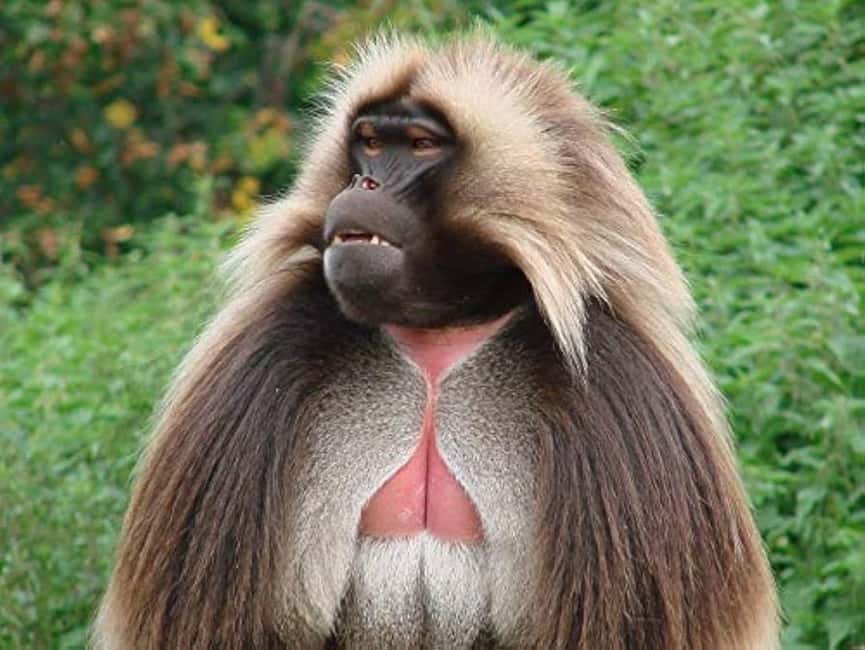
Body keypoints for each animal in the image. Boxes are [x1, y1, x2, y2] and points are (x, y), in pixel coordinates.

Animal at [94, 33, 780, 649]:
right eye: (370, 142)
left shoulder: (624, 396)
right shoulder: (256, 370)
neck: (439, 328)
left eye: (421, 145)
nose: (362, 188)